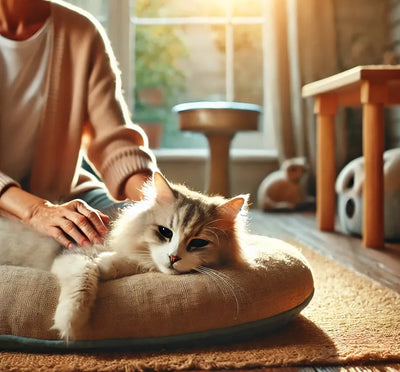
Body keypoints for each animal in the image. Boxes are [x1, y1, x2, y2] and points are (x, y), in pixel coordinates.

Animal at [0, 171, 247, 340]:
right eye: (165, 232)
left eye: (198, 243)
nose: (174, 257)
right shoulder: (74, 253)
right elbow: (83, 281)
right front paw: (71, 322)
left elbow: (132, 262)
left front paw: (105, 265)